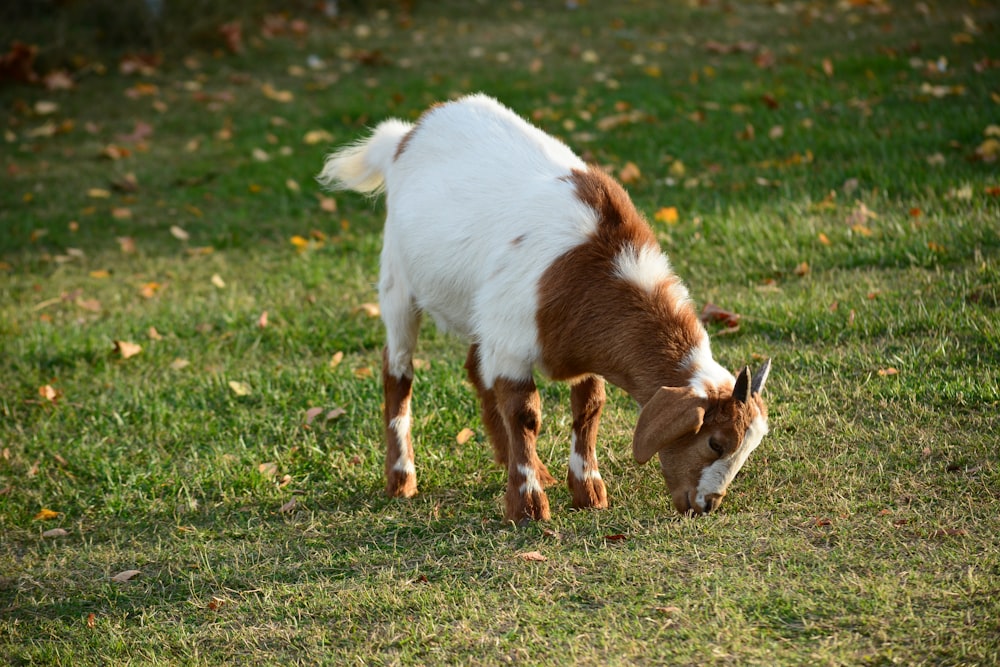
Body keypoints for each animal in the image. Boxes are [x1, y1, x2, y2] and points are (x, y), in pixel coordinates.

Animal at [320, 94, 772, 520]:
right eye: (715, 442)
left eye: (746, 449)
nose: (706, 504)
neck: (592, 262)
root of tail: (406, 135)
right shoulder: (512, 347)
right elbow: (524, 414)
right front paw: (528, 507)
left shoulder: (576, 347)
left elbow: (588, 408)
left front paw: (588, 492)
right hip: (397, 282)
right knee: (398, 371)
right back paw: (402, 480)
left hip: (484, 312)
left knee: (474, 367)